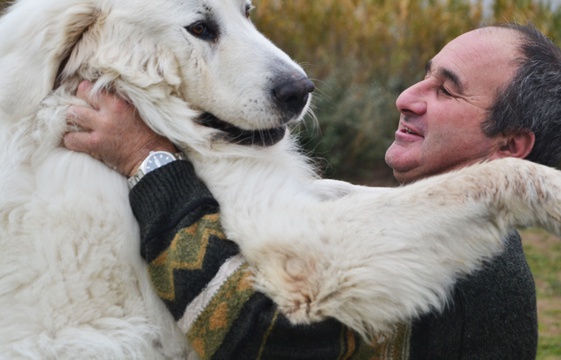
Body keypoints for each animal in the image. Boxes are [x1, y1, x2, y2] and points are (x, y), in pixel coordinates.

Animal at [1, 0, 560, 358]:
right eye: (200, 28)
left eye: (247, 12)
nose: (301, 90)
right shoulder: (295, 251)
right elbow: (480, 178)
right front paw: (552, 191)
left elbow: (358, 188)